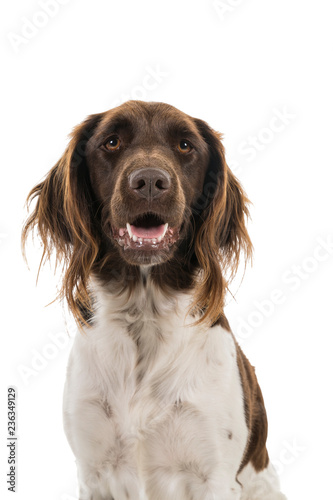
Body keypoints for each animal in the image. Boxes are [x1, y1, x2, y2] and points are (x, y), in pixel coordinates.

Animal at [22, 101, 286, 500]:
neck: (144, 315)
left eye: (185, 145)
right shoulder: (93, 472)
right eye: (111, 141)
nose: (149, 182)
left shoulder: (214, 476)